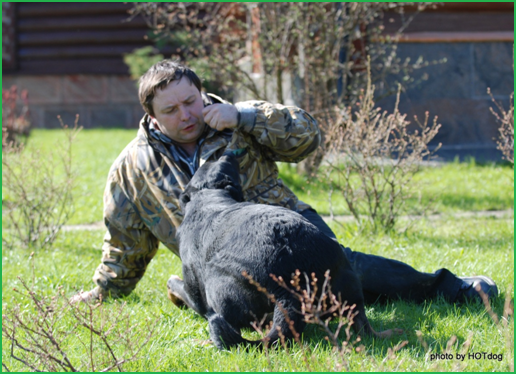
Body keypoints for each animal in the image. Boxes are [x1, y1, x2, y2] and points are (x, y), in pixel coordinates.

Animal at [167, 153, 398, 350]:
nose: (228, 152)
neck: (210, 197)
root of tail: (292, 288)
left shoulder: (195, 295)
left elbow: (175, 284)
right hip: (349, 285)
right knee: (362, 326)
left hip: (218, 287)